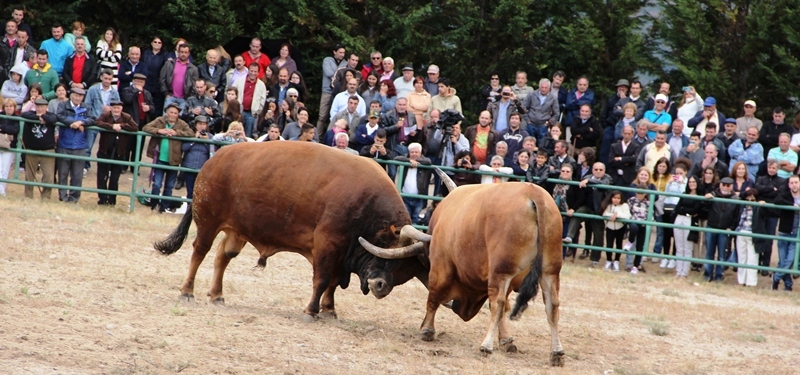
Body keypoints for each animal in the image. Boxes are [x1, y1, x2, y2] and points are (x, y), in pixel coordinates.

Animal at [152, 142, 428, 322]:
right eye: (394, 260)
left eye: (405, 269)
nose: (380, 286)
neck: (367, 204)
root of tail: (213, 160)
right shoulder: (327, 245)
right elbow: (323, 280)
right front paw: (312, 311)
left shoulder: (341, 254)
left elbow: (334, 283)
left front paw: (329, 309)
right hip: (208, 223)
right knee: (199, 253)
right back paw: (187, 292)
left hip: (236, 232)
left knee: (222, 256)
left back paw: (217, 295)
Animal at [360, 173, 564, 368]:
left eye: (398, 263)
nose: (375, 284)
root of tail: (533, 193)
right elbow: (505, 308)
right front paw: (507, 340)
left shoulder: (441, 268)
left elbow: (433, 298)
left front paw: (427, 329)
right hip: (549, 271)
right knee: (551, 305)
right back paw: (556, 353)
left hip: (502, 271)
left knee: (497, 304)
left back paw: (486, 346)